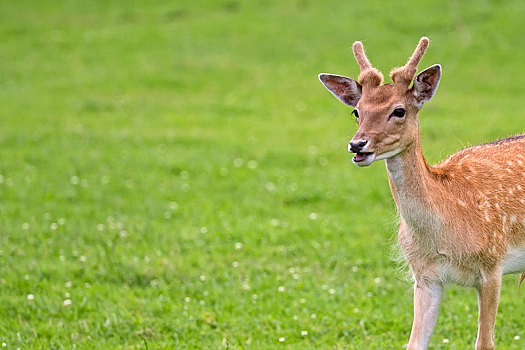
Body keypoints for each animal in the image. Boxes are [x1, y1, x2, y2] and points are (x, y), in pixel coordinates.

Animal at [318, 37, 524, 348]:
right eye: (356, 111)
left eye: (399, 110)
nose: (357, 144)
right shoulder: (424, 275)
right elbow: (414, 343)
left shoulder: (493, 265)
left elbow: (484, 342)